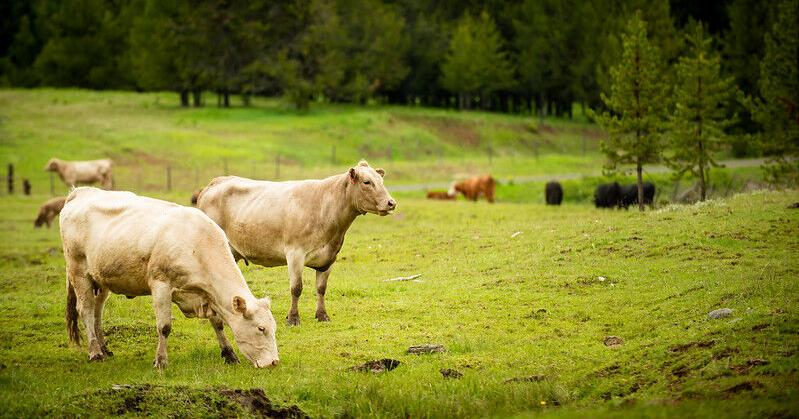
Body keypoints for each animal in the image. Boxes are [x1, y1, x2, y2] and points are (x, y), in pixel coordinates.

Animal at [60, 187, 278, 368]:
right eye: (261, 328)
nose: (274, 362)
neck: (196, 244)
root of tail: (81, 192)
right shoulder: (161, 285)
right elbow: (164, 327)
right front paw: (161, 360)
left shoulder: (208, 295)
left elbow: (217, 323)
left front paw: (229, 354)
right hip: (79, 272)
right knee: (86, 310)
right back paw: (95, 352)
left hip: (101, 281)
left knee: (97, 312)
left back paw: (104, 348)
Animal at [197, 160, 396, 326]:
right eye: (367, 182)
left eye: (381, 180)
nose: (391, 203)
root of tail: (217, 181)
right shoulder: (295, 253)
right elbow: (296, 288)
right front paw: (293, 318)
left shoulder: (329, 257)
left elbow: (321, 288)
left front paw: (322, 315)